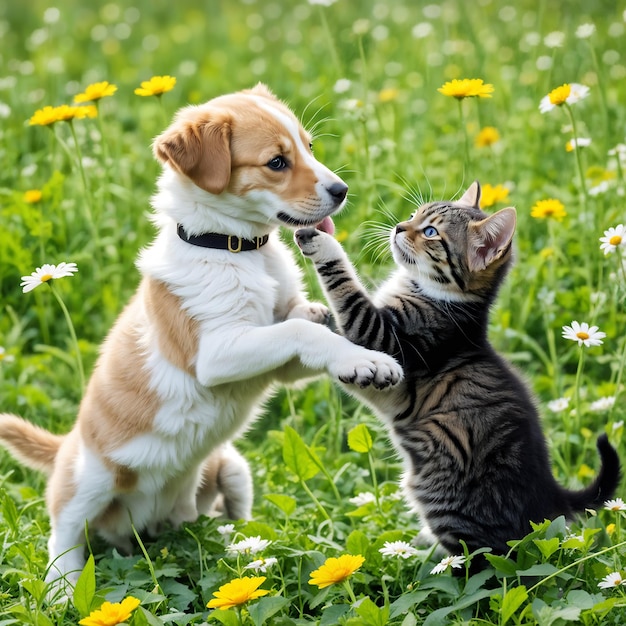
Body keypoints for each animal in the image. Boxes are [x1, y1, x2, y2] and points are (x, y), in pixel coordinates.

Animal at [0, 83, 400, 596]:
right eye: (277, 162)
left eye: (310, 147)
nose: (342, 191)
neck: (237, 249)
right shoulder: (216, 353)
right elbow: (297, 331)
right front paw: (365, 361)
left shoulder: (279, 363)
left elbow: (299, 323)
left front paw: (331, 326)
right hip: (90, 479)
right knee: (65, 531)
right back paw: (63, 591)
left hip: (231, 468)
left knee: (228, 518)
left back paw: (240, 549)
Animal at [294, 182, 616, 556]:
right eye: (414, 215)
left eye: (431, 232)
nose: (399, 227)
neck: (444, 299)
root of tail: (551, 494)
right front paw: (304, 312)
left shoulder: (386, 336)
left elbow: (347, 295)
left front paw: (322, 242)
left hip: (457, 514)